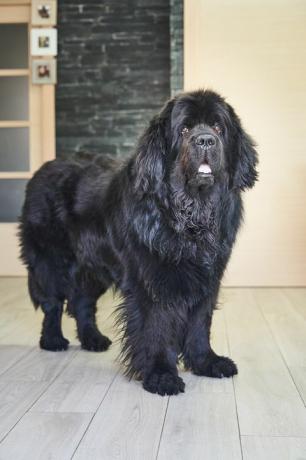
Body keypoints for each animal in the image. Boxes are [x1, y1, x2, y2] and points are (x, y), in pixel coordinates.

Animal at [19, 89, 258, 396]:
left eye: (218, 127)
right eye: (184, 129)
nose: (205, 139)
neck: (191, 214)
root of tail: (42, 169)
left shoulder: (207, 278)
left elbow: (199, 323)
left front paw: (207, 362)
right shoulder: (151, 280)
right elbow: (156, 328)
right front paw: (161, 375)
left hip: (93, 265)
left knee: (82, 301)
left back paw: (93, 339)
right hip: (50, 260)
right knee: (53, 303)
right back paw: (53, 340)